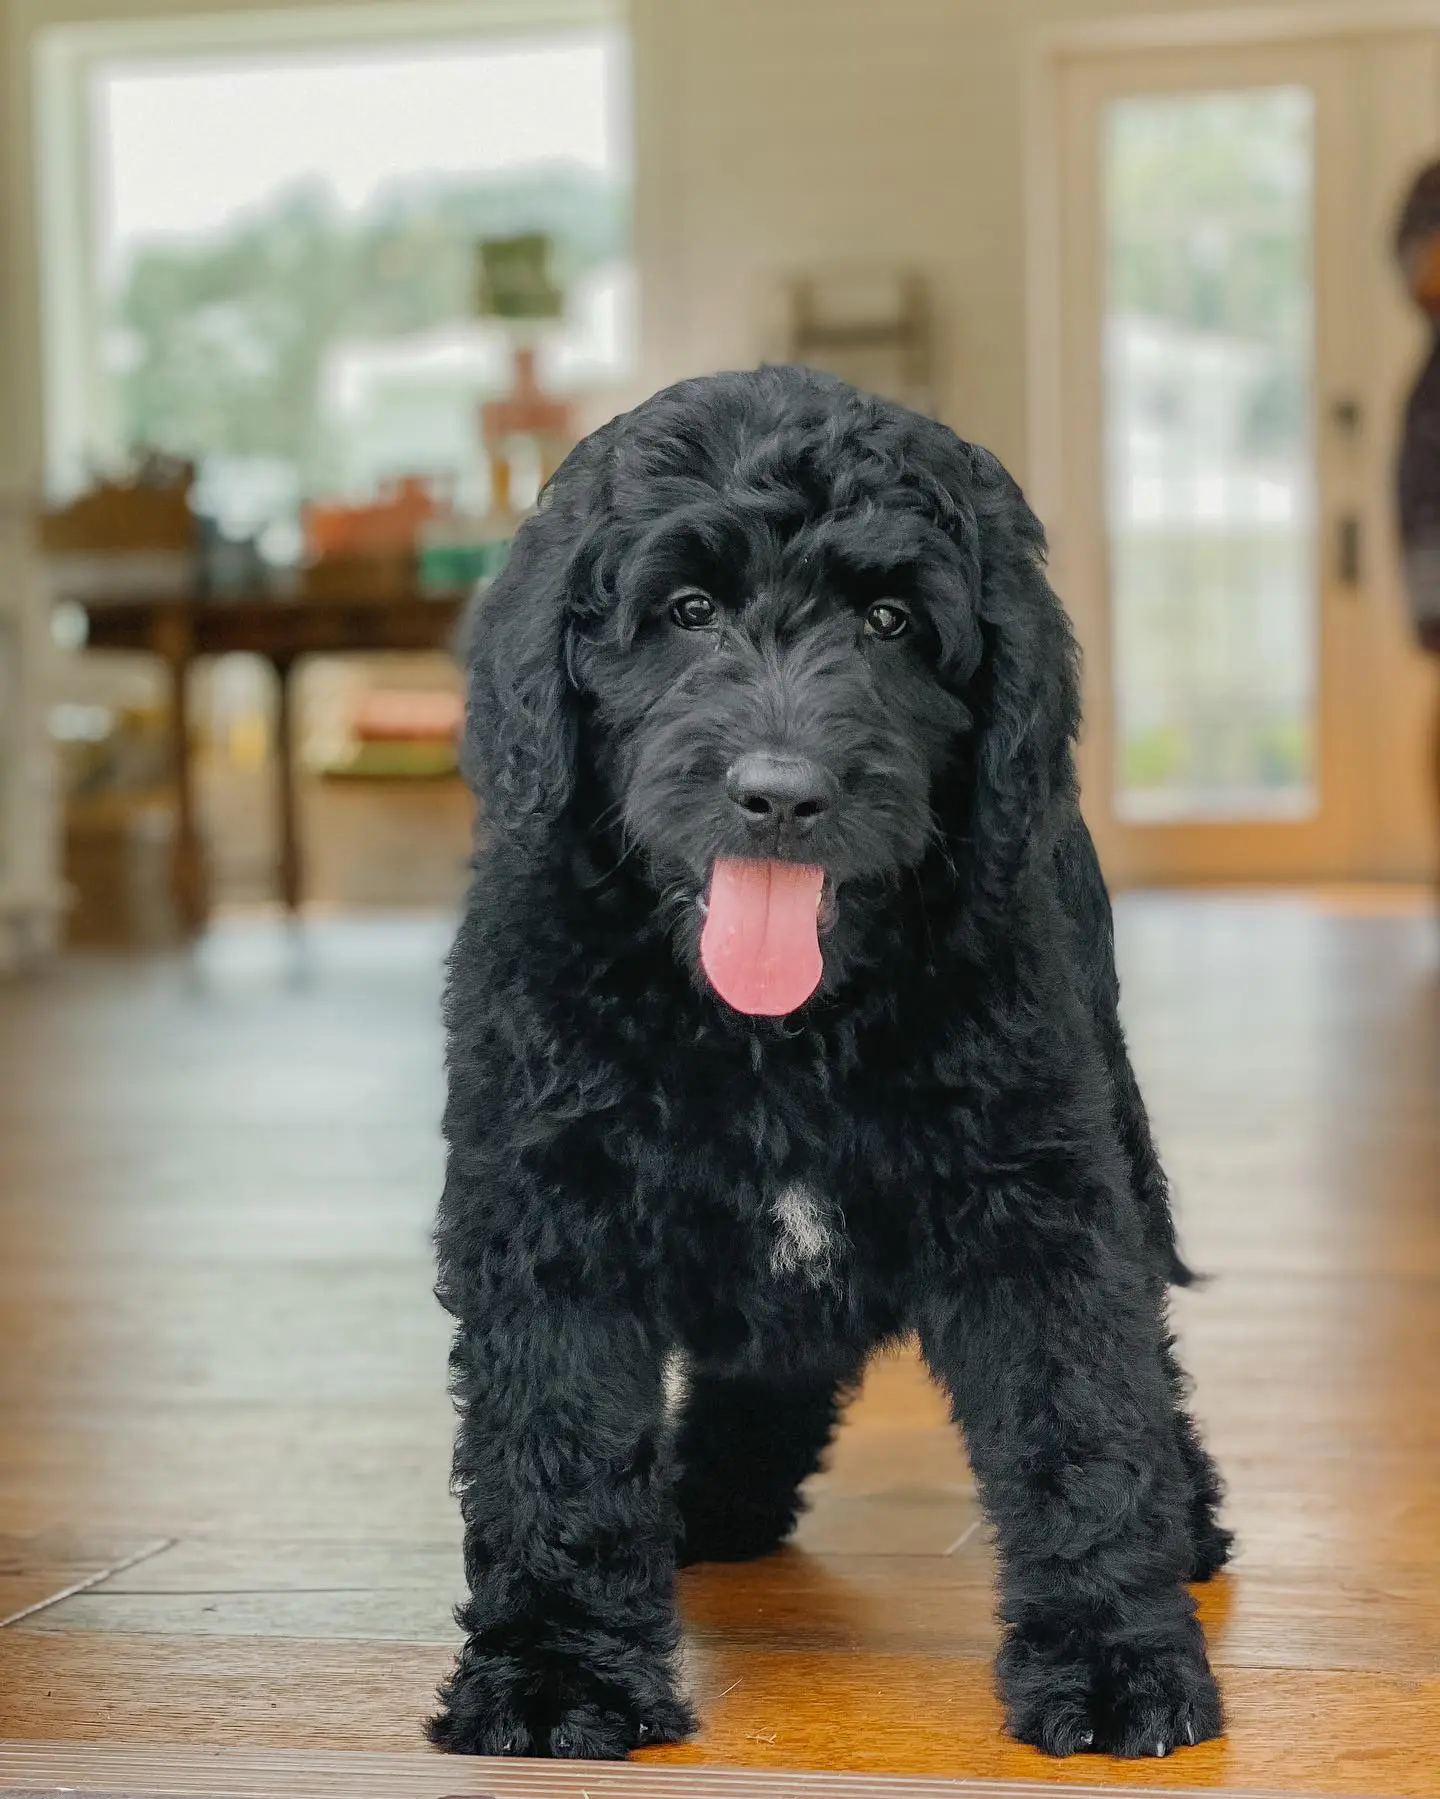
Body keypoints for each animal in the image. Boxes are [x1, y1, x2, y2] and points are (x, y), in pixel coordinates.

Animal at [433, 361, 1231, 1755]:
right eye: (687, 610)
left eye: (891, 621)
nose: (781, 792)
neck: (773, 1030)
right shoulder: (546, 1210)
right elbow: (558, 1441)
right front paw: (556, 1673)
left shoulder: (1035, 1195)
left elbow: (1086, 1416)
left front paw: (1114, 1656)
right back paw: (711, 1496)